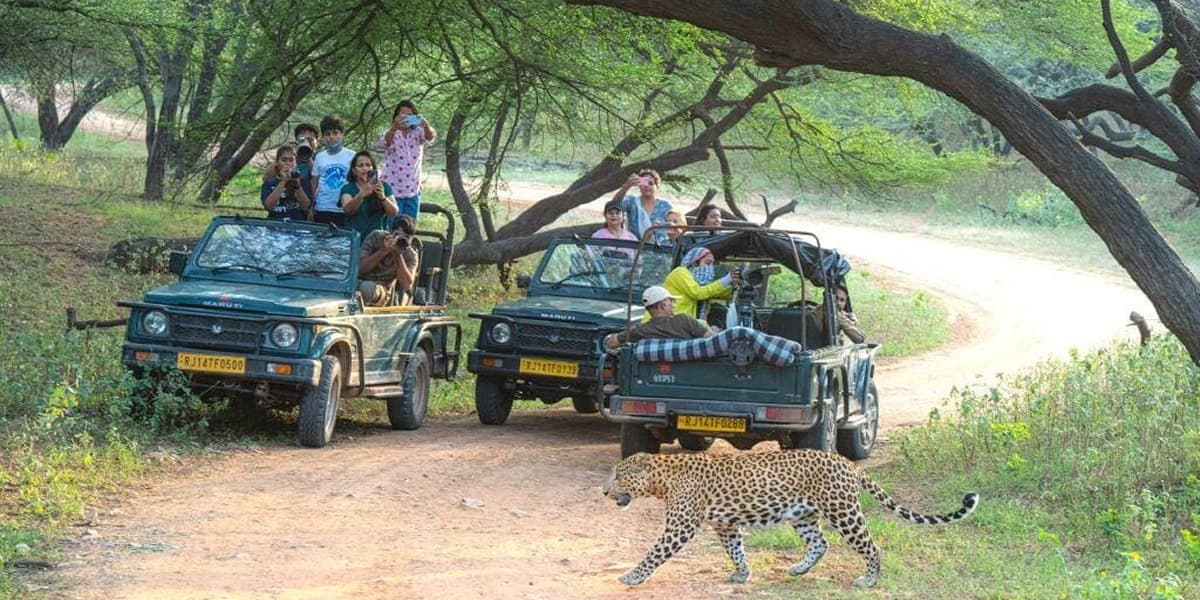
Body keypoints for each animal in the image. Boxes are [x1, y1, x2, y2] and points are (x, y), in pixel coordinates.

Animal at [602, 450, 979, 588]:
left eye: (618, 476)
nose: (604, 492)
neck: (662, 479)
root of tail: (848, 462)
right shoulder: (725, 525)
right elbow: (736, 550)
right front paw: (743, 574)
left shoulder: (680, 527)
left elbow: (654, 553)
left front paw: (632, 576)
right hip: (804, 515)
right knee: (820, 543)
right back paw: (798, 569)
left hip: (843, 511)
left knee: (871, 547)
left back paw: (868, 580)